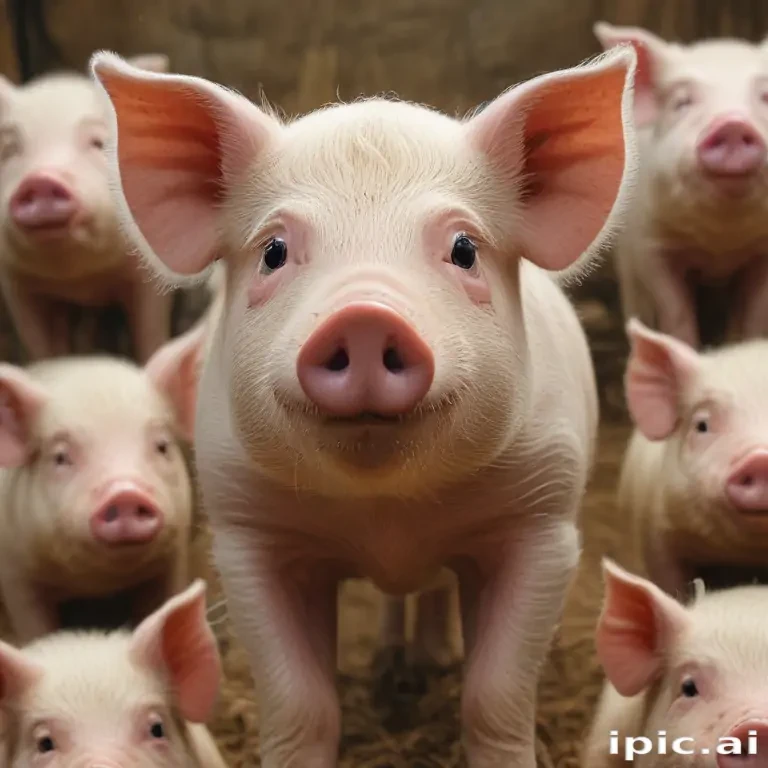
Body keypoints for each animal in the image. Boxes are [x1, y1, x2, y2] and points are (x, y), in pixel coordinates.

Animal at [0, 53, 176, 363]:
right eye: (10, 150)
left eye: (98, 142)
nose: (41, 179)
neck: (80, 278)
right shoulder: (16, 281)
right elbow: (41, 346)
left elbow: (150, 333)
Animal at [0, 324, 204, 644]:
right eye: (60, 457)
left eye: (162, 446)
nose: (125, 492)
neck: (98, 582)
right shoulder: (15, 570)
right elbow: (35, 627)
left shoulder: (175, 554)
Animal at [89, 44, 638, 768]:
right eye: (274, 251)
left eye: (464, 249)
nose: (365, 316)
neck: (387, 512)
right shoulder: (248, 531)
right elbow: (301, 707)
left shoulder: (543, 521)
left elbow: (493, 698)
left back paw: (427, 661)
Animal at [594, 23, 768, 349]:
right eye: (682, 102)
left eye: (765, 96)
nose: (732, 123)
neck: (722, 241)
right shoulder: (650, 244)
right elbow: (676, 312)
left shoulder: (762, 249)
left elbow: (754, 315)